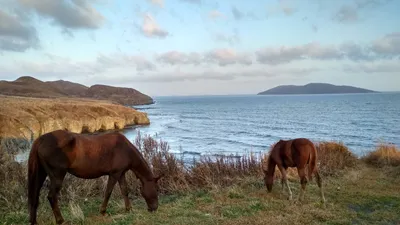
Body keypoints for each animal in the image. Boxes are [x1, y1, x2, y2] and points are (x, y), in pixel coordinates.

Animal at [27, 129, 163, 224]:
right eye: (156, 189)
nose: (154, 208)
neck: (125, 149)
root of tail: (41, 139)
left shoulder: (121, 174)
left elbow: (125, 191)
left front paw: (128, 209)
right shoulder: (114, 174)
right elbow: (108, 192)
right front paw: (103, 211)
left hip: (41, 174)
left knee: (35, 195)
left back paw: (34, 221)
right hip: (57, 176)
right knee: (51, 196)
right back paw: (60, 220)